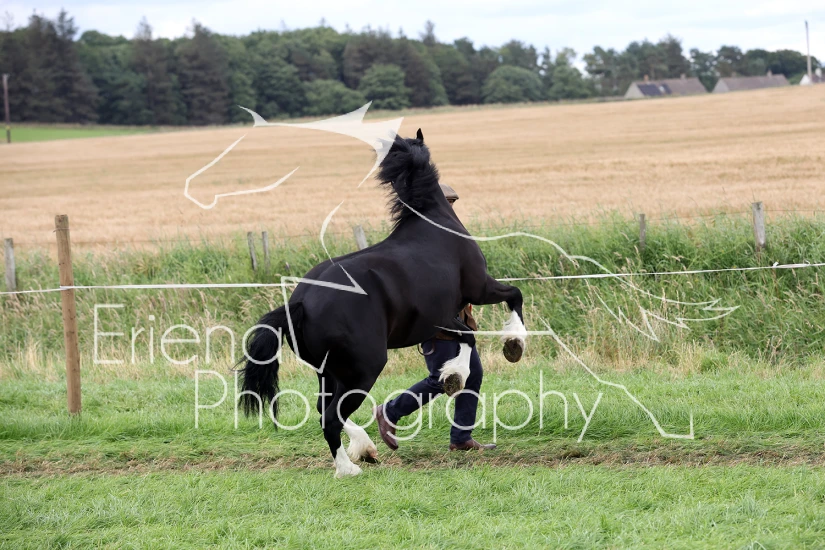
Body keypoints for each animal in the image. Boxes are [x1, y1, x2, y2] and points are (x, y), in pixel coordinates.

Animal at [239, 130, 527, 478]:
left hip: (330, 372)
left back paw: (365, 449)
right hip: (364, 368)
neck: (435, 222)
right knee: (331, 416)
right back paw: (348, 468)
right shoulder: (477, 290)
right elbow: (509, 300)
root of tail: (301, 304)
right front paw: (505, 348)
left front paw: (455, 372)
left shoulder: (440, 319)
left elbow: (469, 334)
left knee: (325, 410)